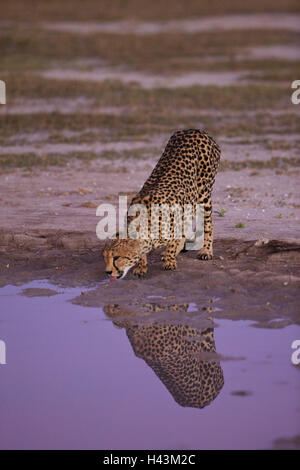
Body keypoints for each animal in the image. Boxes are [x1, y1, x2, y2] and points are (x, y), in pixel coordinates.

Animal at [103, 129, 220, 280]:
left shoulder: (176, 218)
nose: (107, 272)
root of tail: (195, 130)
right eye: (105, 258)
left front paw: (170, 261)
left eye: (116, 258)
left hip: (203, 193)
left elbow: (173, 242)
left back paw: (206, 251)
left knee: (208, 223)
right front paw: (141, 267)